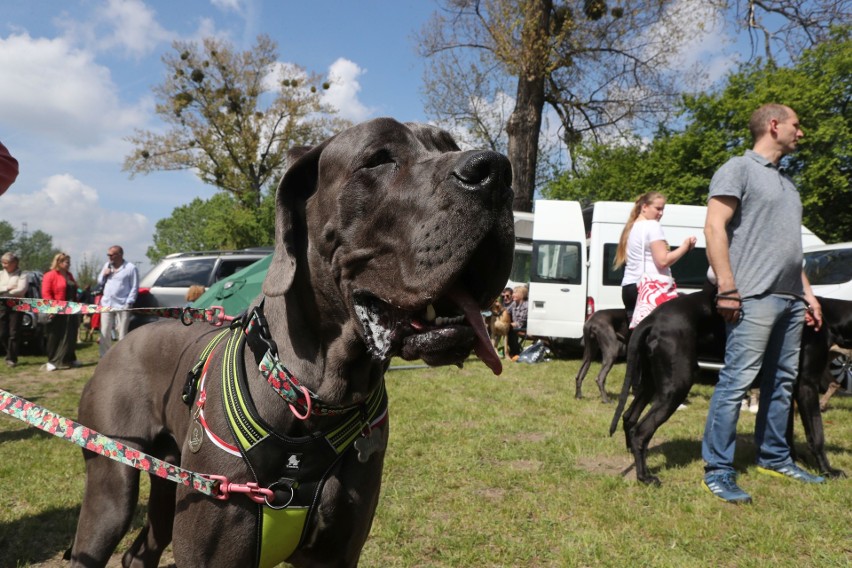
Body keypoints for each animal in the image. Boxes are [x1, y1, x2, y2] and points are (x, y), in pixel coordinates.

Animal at [608, 286, 848, 486]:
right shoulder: (807, 386)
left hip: (651, 383)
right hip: (677, 385)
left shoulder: (784, 386)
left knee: (629, 416)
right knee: (641, 431)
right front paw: (828, 470)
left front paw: (791, 461)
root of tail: (652, 319)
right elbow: (816, 434)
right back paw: (644, 477)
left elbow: (785, 431)